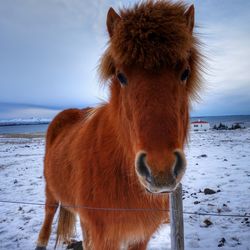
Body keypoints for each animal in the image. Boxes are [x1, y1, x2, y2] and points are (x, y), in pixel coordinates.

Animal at [36, 0, 202, 249]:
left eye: (185, 73)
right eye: (121, 76)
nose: (160, 169)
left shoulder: (140, 237)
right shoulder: (105, 237)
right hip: (51, 192)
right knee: (48, 216)